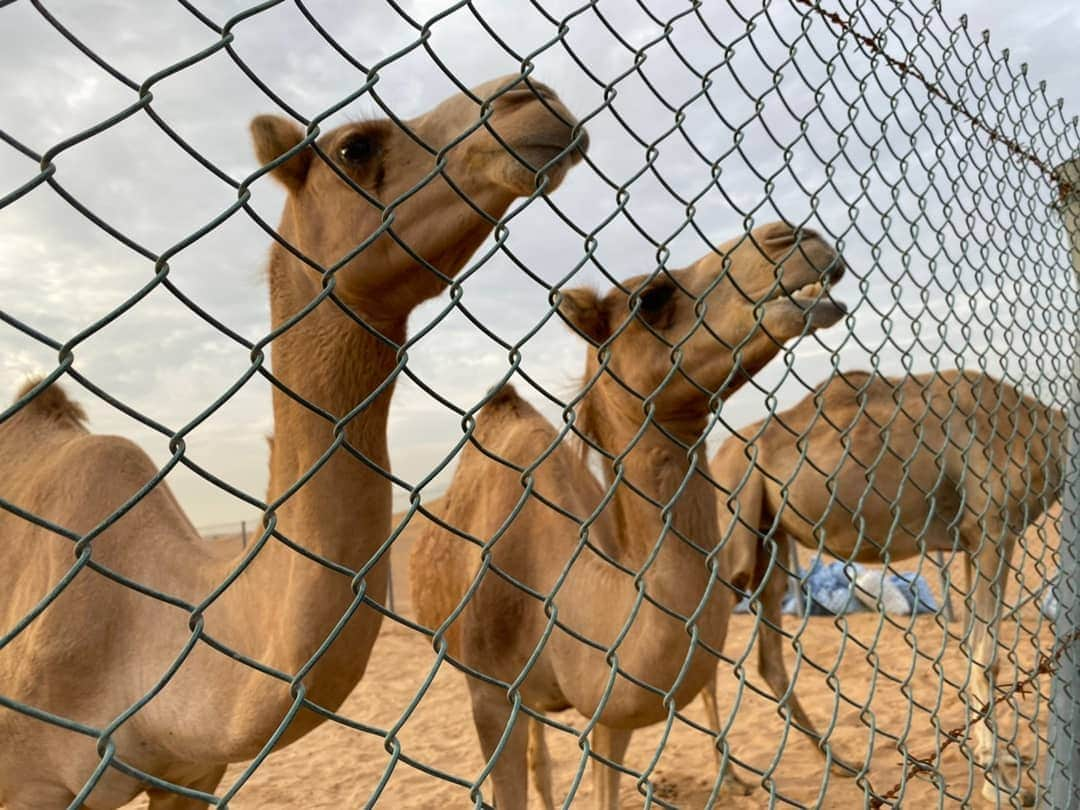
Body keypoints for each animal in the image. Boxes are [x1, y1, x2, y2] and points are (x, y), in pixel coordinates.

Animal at [704, 367, 1067, 807]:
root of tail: (721, 454)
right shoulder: (993, 529)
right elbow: (987, 658)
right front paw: (1000, 785)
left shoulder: (971, 541)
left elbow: (970, 648)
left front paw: (1001, 760)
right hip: (732, 519)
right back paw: (729, 777)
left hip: (768, 538)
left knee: (767, 656)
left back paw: (839, 762)